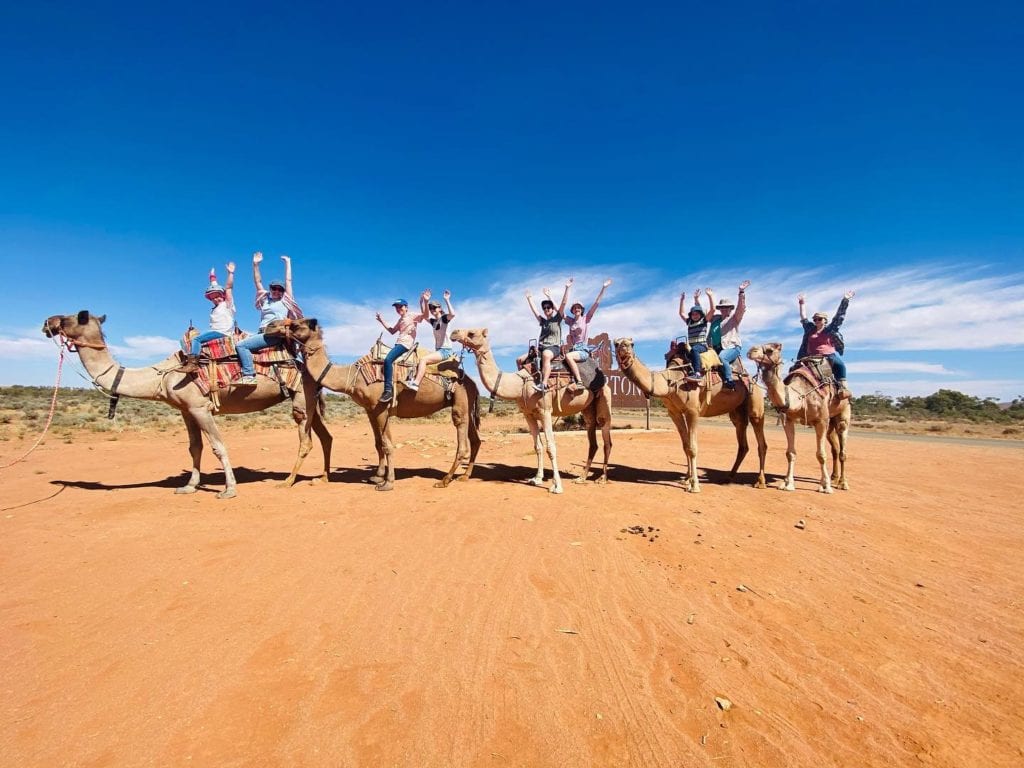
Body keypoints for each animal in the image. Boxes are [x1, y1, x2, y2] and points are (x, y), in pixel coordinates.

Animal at [43, 311, 331, 499]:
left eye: (72, 317)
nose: (47, 323)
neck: (163, 376)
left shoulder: (200, 408)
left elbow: (217, 446)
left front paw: (229, 490)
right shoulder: (185, 410)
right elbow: (195, 447)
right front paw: (189, 486)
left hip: (301, 398)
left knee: (305, 440)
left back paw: (289, 481)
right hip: (310, 401)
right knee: (325, 436)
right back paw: (323, 477)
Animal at [278, 319, 481, 493]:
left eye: (296, 324)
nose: (274, 327)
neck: (352, 377)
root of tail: (472, 382)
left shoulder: (381, 408)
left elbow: (387, 444)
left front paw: (387, 483)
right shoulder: (370, 410)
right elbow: (377, 443)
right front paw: (377, 476)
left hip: (460, 400)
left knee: (462, 441)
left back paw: (445, 480)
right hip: (467, 404)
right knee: (475, 439)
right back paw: (464, 476)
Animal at [448, 327, 606, 495]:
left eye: (472, 333)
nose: (454, 333)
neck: (520, 384)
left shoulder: (545, 411)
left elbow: (551, 447)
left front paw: (557, 486)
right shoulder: (529, 415)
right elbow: (538, 446)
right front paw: (537, 479)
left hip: (602, 396)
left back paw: (601, 478)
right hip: (588, 407)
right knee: (593, 438)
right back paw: (582, 478)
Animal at [610, 337, 765, 493]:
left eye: (632, 343)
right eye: (616, 343)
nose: (623, 347)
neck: (670, 381)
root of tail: (752, 378)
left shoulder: (692, 411)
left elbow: (692, 448)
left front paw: (695, 485)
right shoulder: (675, 413)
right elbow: (685, 446)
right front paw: (687, 479)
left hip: (756, 404)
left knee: (761, 442)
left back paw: (760, 482)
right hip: (737, 412)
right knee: (743, 442)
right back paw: (728, 478)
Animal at [749, 342, 851, 493]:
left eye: (770, 350)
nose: (751, 351)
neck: (799, 395)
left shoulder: (821, 420)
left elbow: (821, 455)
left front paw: (825, 486)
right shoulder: (788, 420)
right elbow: (790, 453)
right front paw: (787, 484)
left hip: (843, 412)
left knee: (842, 449)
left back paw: (842, 483)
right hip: (830, 421)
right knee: (835, 448)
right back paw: (834, 477)